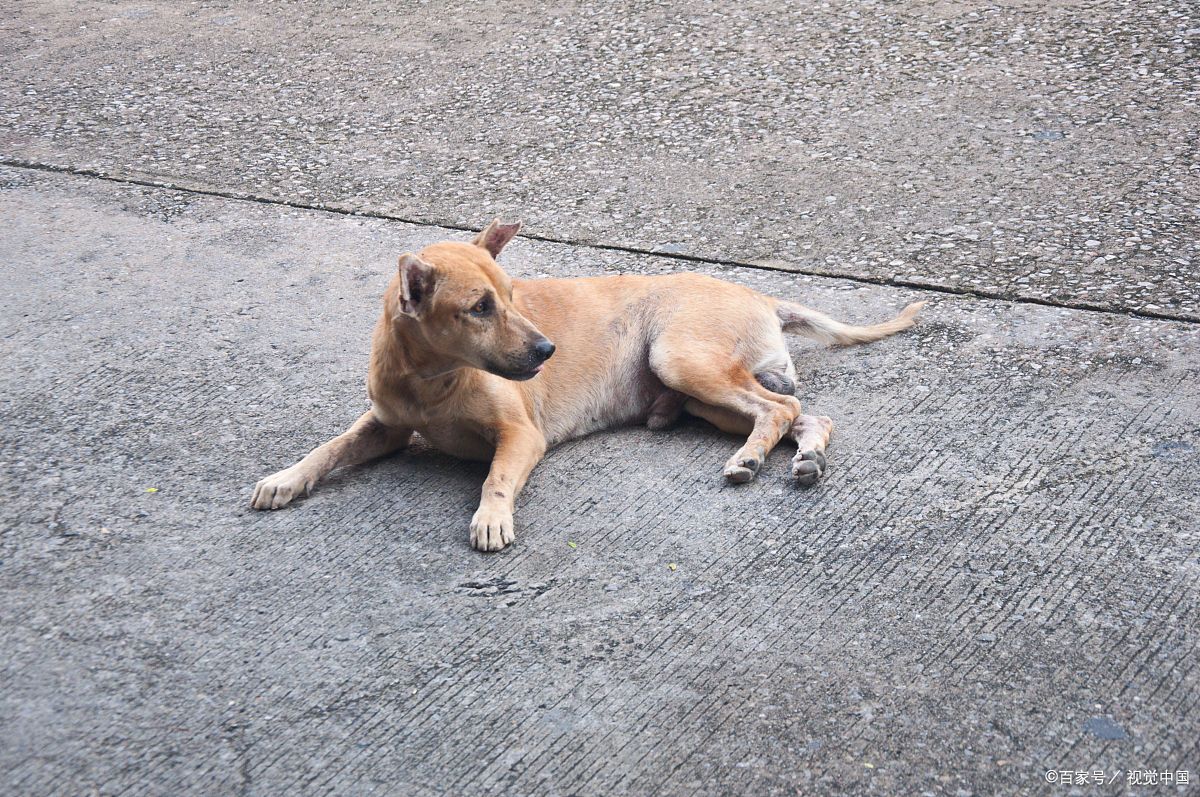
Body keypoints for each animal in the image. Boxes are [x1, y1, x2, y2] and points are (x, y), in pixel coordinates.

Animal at [250, 220, 926, 552]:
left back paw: (753, 458)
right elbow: (328, 448)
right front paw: (285, 478)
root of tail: (762, 295)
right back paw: (802, 456)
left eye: (513, 296)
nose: (547, 350)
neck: (432, 381)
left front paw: (490, 517)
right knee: (805, 413)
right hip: (702, 398)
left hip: (681, 360)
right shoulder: (386, 426)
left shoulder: (520, 436)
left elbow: (495, 477)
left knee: (782, 407)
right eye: (479, 308)